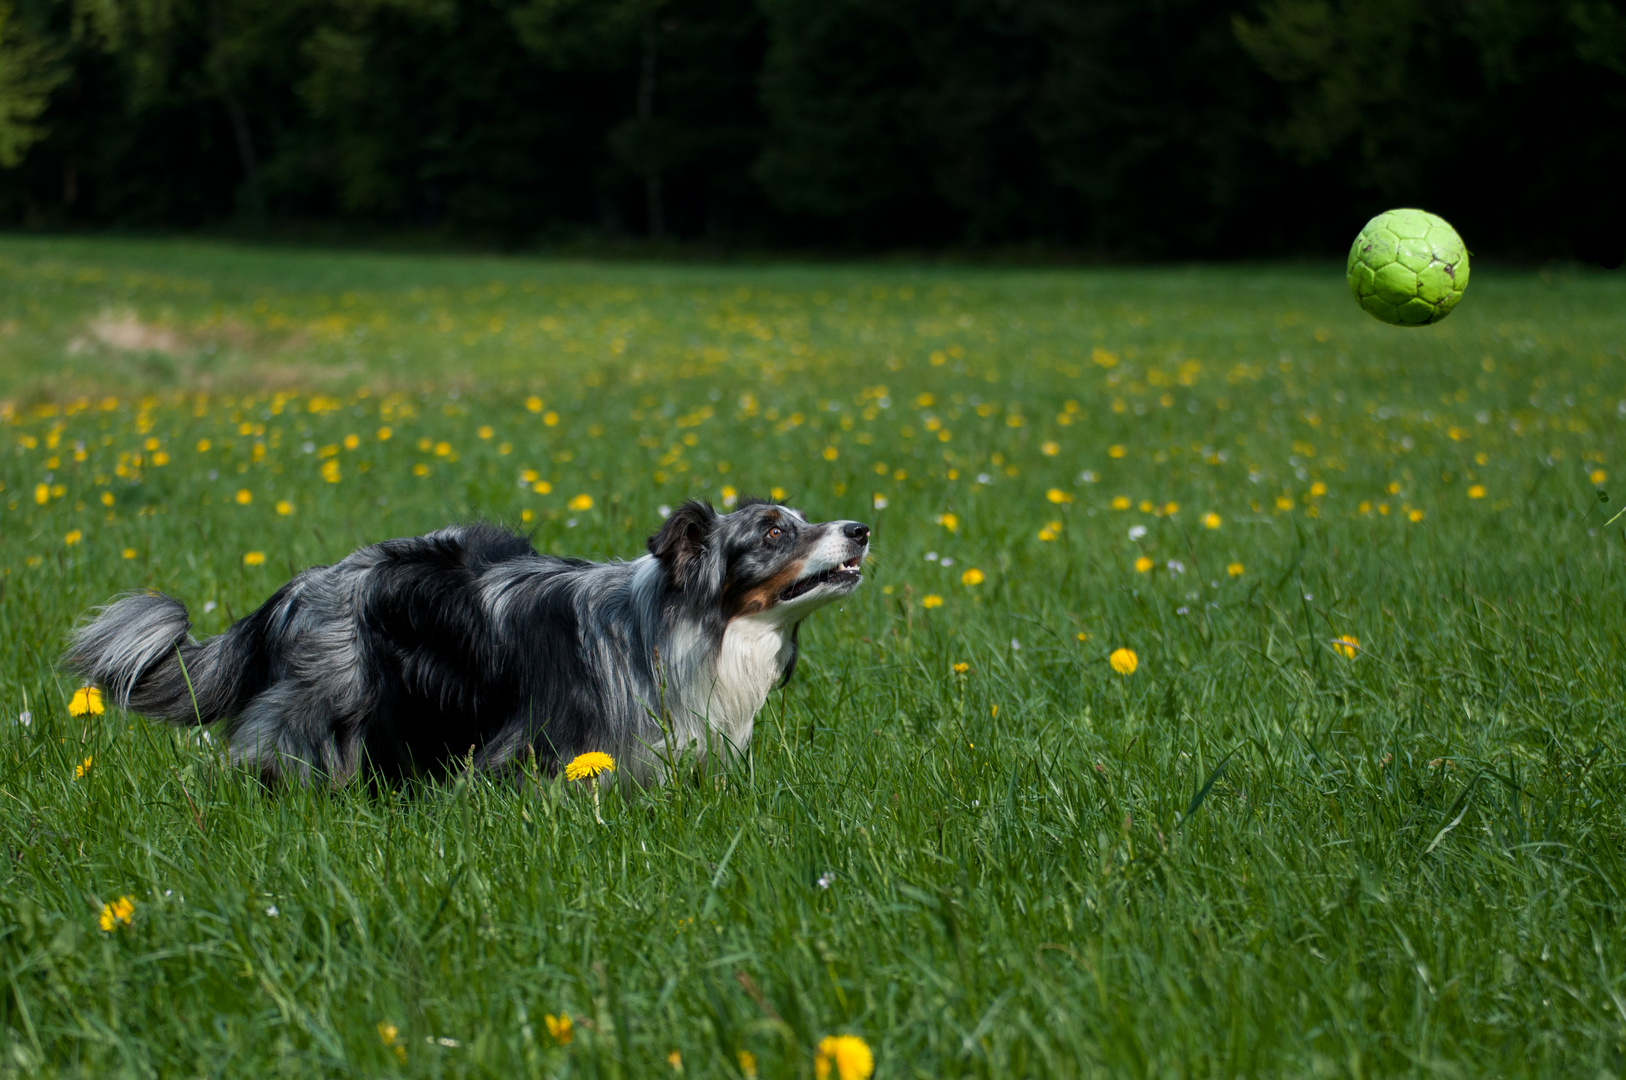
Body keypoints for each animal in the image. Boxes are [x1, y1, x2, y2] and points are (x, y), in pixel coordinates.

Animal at [63, 497, 871, 783]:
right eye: (774, 532)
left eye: (801, 518)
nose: (860, 527)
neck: (689, 626)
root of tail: (301, 586)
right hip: (325, 703)